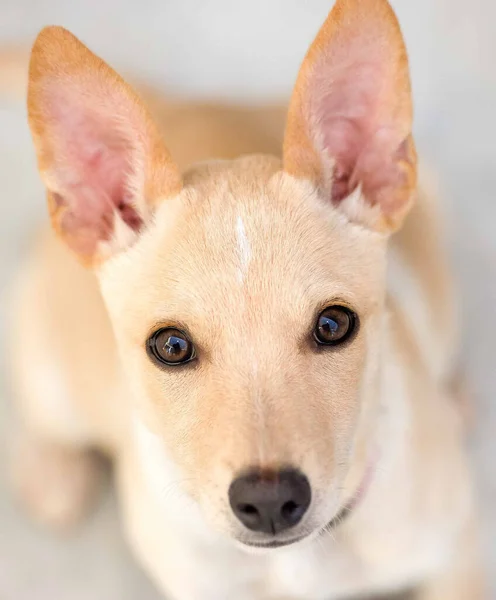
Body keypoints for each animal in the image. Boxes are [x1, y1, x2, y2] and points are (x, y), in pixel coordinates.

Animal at [2, 0, 484, 596]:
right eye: (171, 347)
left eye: (333, 326)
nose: (270, 501)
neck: (301, 561)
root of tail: (185, 99)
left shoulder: (458, 553)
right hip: (52, 370)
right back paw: (53, 472)